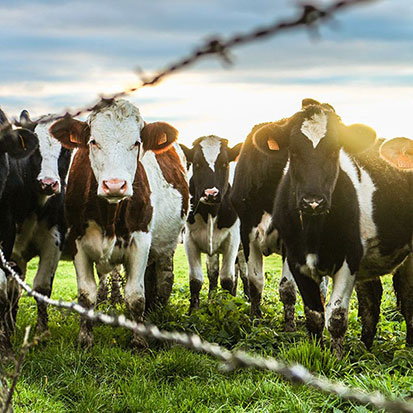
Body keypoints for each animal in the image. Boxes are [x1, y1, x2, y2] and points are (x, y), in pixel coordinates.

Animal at [49, 100, 188, 348]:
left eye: (136, 143)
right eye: (93, 141)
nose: (115, 185)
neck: (109, 216)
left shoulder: (141, 241)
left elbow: (135, 296)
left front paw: (139, 342)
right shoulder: (77, 242)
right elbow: (86, 294)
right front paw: (85, 340)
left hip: (168, 243)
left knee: (164, 276)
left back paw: (158, 310)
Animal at [181, 137, 245, 310]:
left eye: (224, 163)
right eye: (197, 164)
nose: (211, 193)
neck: (210, 213)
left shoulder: (233, 239)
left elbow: (227, 279)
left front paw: (228, 307)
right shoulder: (189, 239)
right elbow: (196, 279)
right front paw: (193, 310)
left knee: (243, 274)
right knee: (213, 272)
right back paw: (212, 299)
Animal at [254, 98, 412, 356]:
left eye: (334, 150)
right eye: (294, 151)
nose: (313, 201)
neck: (313, 229)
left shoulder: (349, 258)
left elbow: (336, 316)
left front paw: (337, 359)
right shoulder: (296, 259)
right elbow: (314, 315)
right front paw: (316, 351)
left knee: (407, 297)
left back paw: (407, 347)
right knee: (372, 298)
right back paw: (365, 347)